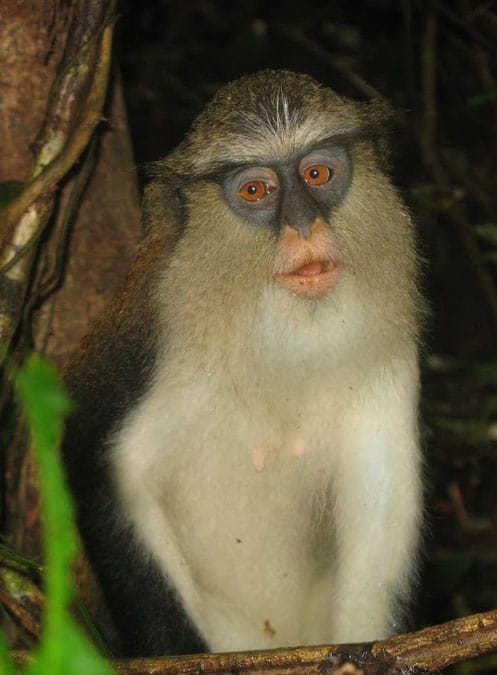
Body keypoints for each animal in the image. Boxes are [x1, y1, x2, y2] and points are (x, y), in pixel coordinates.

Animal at [63, 69, 424, 658]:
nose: (304, 225)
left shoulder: (388, 355)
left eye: (317, 173)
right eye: (256, 190)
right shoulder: (151, 340)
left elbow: (379, 493)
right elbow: (107, 471)